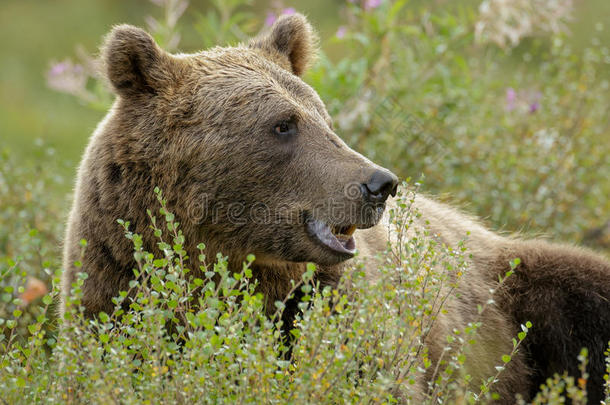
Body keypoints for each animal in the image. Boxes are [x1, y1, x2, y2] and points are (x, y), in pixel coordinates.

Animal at [63, 14, 608, 402]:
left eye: (323, 117)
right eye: (282, 124)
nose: (380, 183)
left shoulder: (333, 311)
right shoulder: (114, 290)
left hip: (517, 289)